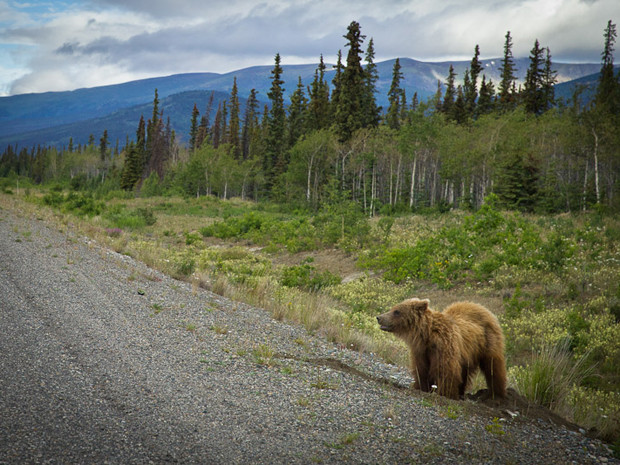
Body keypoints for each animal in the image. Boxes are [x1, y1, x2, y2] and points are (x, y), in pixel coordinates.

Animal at [376, 298, 506, 398]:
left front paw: (445, 393)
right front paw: (421, 387)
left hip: (489, 343)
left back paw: (497, 393)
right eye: (393, 308)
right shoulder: (421, 352)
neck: (427, 336)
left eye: (397, 311)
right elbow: (421, 370)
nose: (379, 317)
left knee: (493, 367)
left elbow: (445, 371)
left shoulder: (443, 346)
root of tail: (481, 307)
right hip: (468, 354)